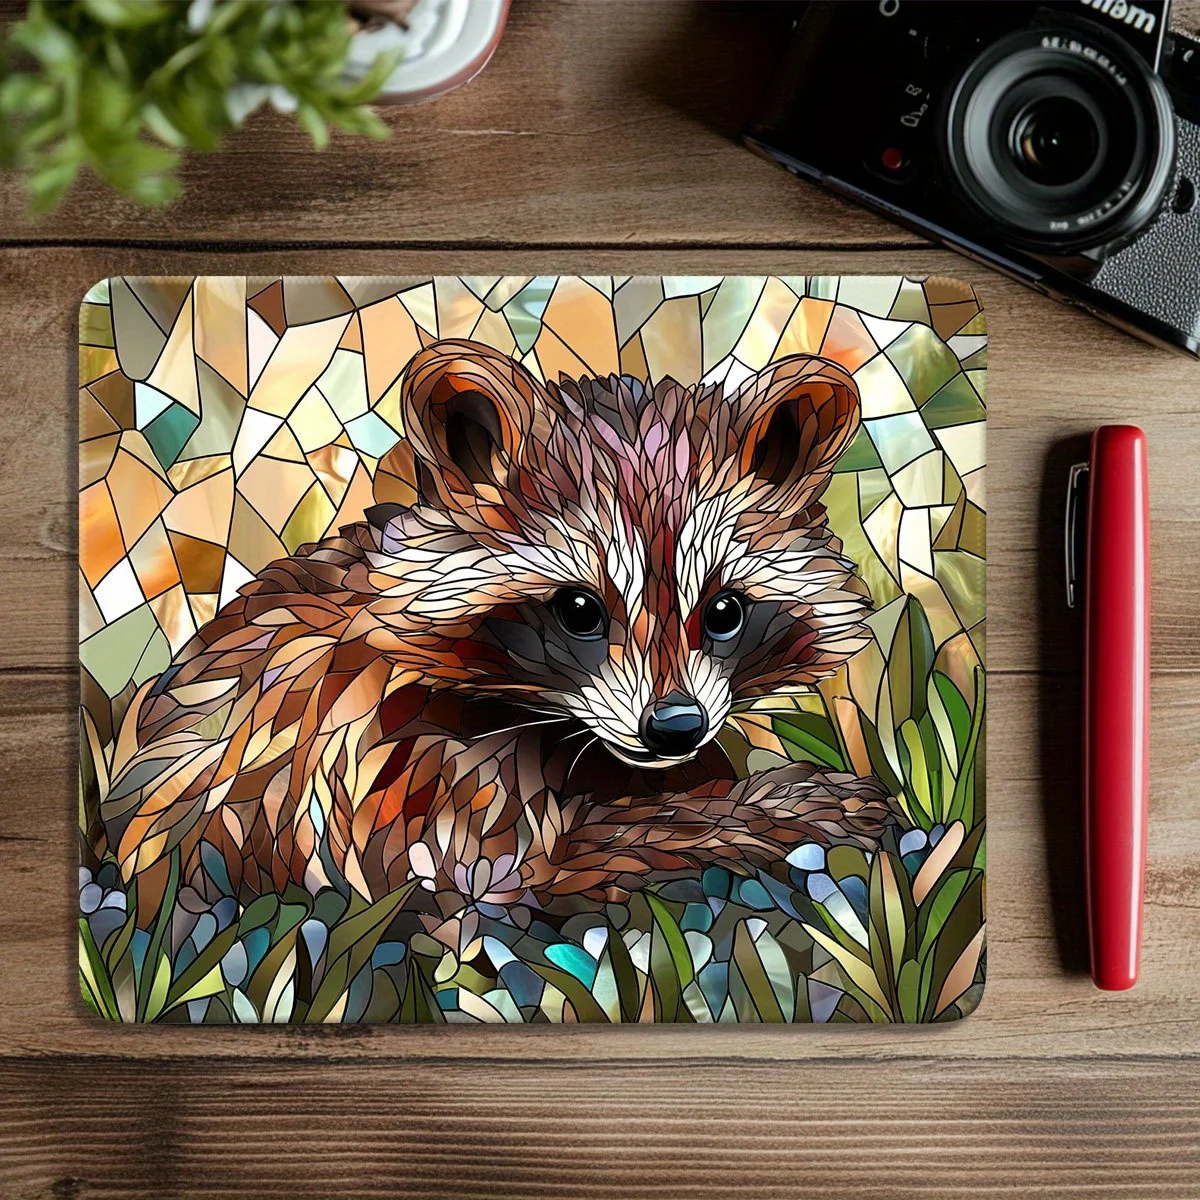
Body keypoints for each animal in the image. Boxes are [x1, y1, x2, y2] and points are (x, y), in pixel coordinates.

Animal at [101, 339, 895, 925]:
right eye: (580, 610)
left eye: (725, 611)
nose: (675, 727)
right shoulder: (390, 759)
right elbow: (527, 873)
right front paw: (774, 808)